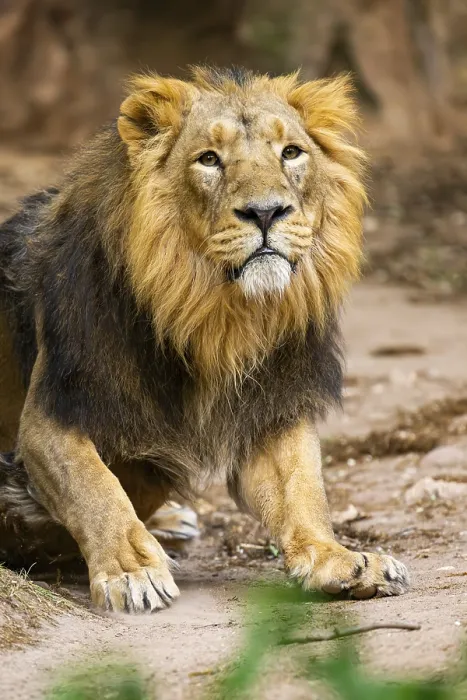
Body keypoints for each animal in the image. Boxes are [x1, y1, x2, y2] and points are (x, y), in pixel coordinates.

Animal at [0, 66, 409, 613]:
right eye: (209, 159)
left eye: (291, 153)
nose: (266, 212)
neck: (213, 313)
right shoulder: (55, 411)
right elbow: (94, 486)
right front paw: (131, 571)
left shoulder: (271, 406)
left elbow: (303, 486)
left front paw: (338, 558)